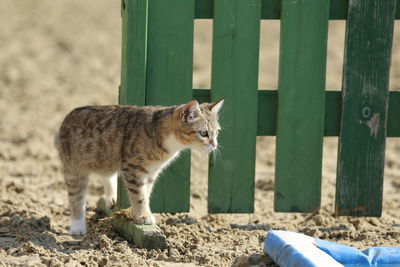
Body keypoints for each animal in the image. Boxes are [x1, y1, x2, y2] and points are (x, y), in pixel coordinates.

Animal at [55, 99, 225, 236]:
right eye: (203, 133)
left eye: (217, 133)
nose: (214, 144)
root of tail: (66, 119)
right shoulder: (132, 168)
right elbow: (139, 194)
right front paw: (143, 216)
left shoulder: (151, 172)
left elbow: (145, 192)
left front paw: (138, 213)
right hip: (74, 168)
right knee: (76, 198)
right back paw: (77, 227)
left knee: (107, 174)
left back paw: (111, 196)